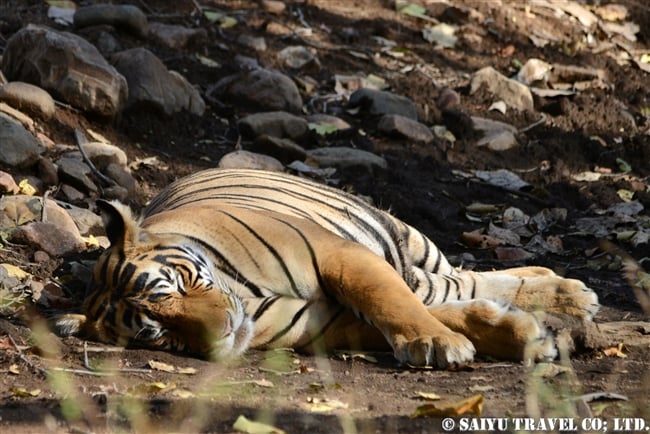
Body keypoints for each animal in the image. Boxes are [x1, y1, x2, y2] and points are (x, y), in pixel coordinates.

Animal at [54, 168, 596, 368]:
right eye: (155, 332)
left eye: (179, 286)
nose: (223, 330)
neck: (248, 300)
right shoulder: (325, 322)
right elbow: (432, 313)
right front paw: (526, 337)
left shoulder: (341, 256)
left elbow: (390, 301)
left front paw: (435, 344)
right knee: (453, 285)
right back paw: (563, 292)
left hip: (399, 238)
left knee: (451, 277)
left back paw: (575, 294)